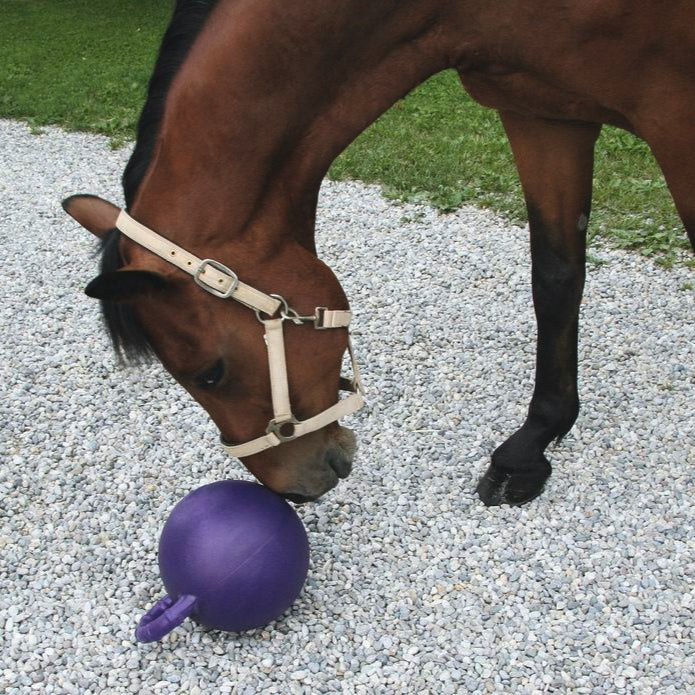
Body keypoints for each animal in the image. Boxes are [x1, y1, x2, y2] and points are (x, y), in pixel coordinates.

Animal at [62, 0, 695, 505]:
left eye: (210, 374)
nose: (292, 491)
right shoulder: (544, 112)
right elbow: (556, 277)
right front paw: (532, 446)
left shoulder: (674, 116)